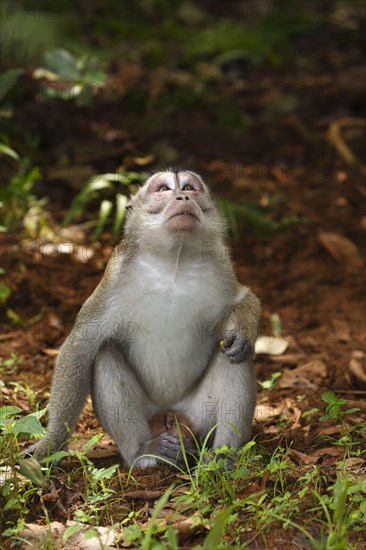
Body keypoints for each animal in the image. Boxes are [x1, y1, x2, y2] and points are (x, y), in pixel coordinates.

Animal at [26, 171, 260, 470]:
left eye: (189, 187)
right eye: (163, 189)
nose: (182, 196)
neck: (174, 263)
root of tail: (171, 414)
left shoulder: (221, 267)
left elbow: (244, 298)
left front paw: (243, 333)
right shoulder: (114, 278)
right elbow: (80, 347)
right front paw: (51, 443)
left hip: (200, 417)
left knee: (232, 360)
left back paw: (222, 456)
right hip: (150, 416)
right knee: (105, 354)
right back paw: (144, 452)